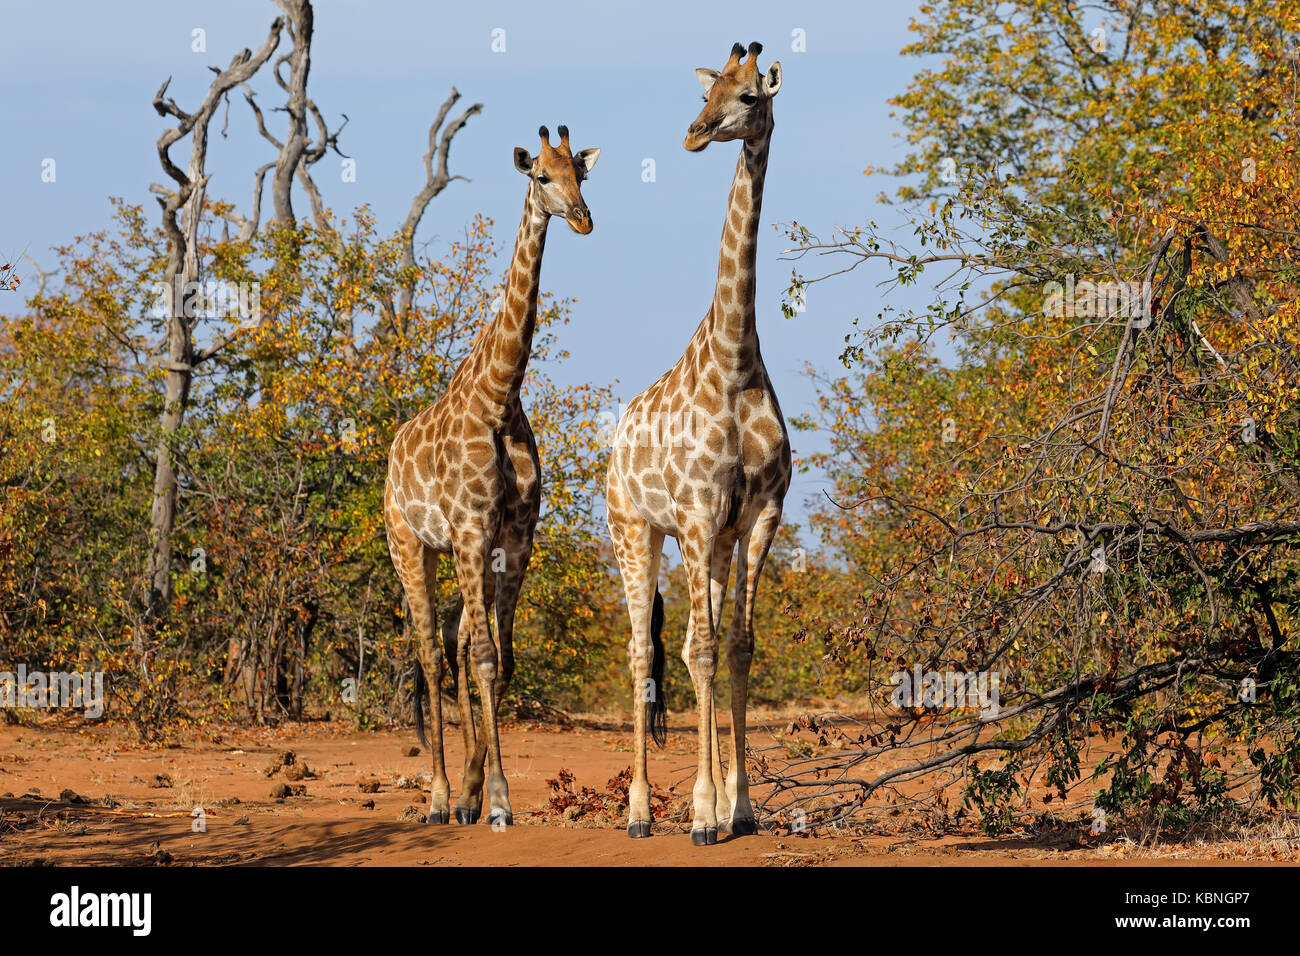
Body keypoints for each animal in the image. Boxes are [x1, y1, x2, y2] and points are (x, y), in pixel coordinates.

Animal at [385, 125, 600, 827]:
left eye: (581, 174)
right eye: (541, 177)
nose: (583, 220)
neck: (500, 396)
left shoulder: (516, 539)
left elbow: (501, 661)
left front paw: (483, 792)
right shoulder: (472, 532)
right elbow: (481, 658)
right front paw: (497, 800)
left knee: (451, 648)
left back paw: (461, 793)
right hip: (411, 546)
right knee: (430, 654)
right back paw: (436, 796)